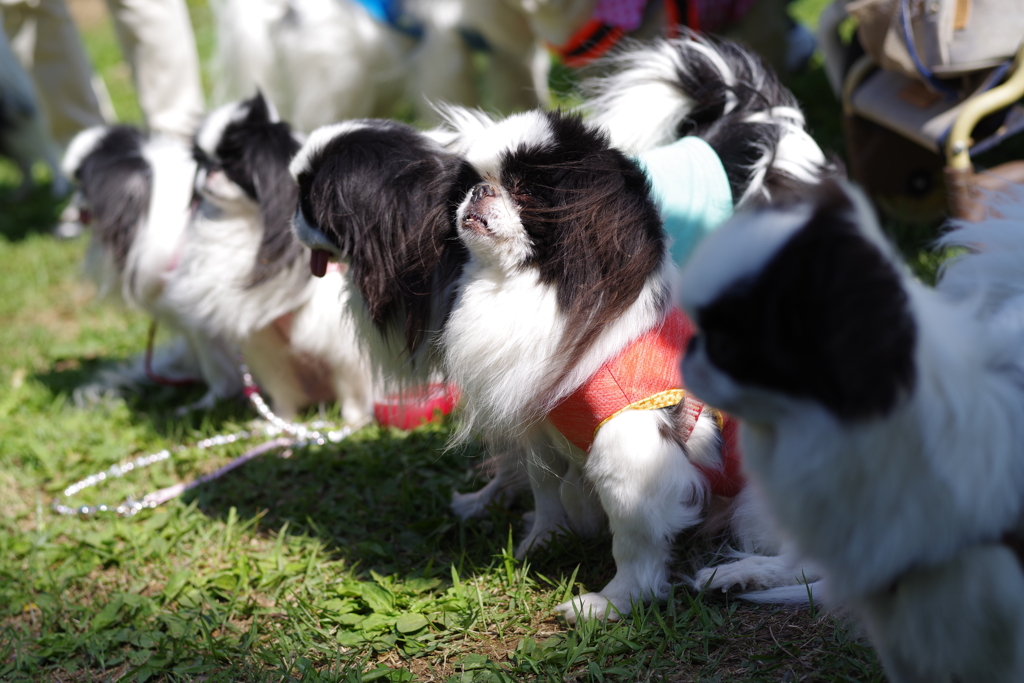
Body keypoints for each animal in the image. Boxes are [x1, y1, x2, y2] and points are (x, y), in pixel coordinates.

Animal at [163, 90, 376, 421]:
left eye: (233, 163)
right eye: (201, 162)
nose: (210, 169)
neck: (247, 223)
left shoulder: (341, 344)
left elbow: (352, 391)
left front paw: (353, 424)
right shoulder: (266, 345)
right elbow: (283, 390)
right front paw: (282, 422)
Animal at [440, 37, 831, 626]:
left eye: (526, 191)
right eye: (471, 182)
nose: (480, 192)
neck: (526, 287)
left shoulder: (630, 454)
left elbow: (635, 542)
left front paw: (612, 603)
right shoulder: (542, 429)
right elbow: (546, 492)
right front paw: (539, 544)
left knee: (814, 562)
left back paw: (736, 575)